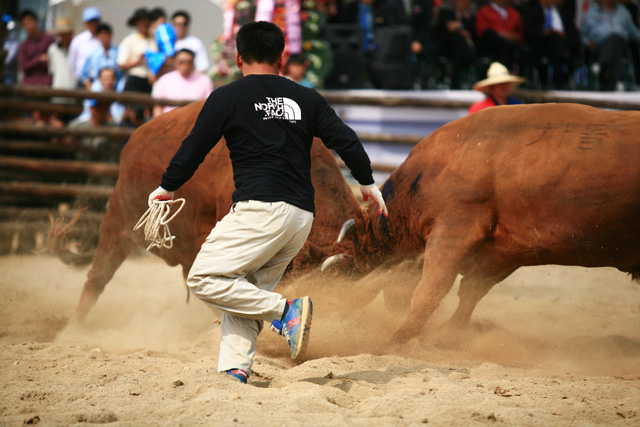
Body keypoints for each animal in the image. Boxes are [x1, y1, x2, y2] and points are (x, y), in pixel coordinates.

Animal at [342, 104, 640, 344]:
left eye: (361, 255)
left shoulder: (455, 227)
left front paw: (395, 340)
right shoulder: (503, 252)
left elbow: (430, 291)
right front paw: (448, 336)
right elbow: (471, 291)